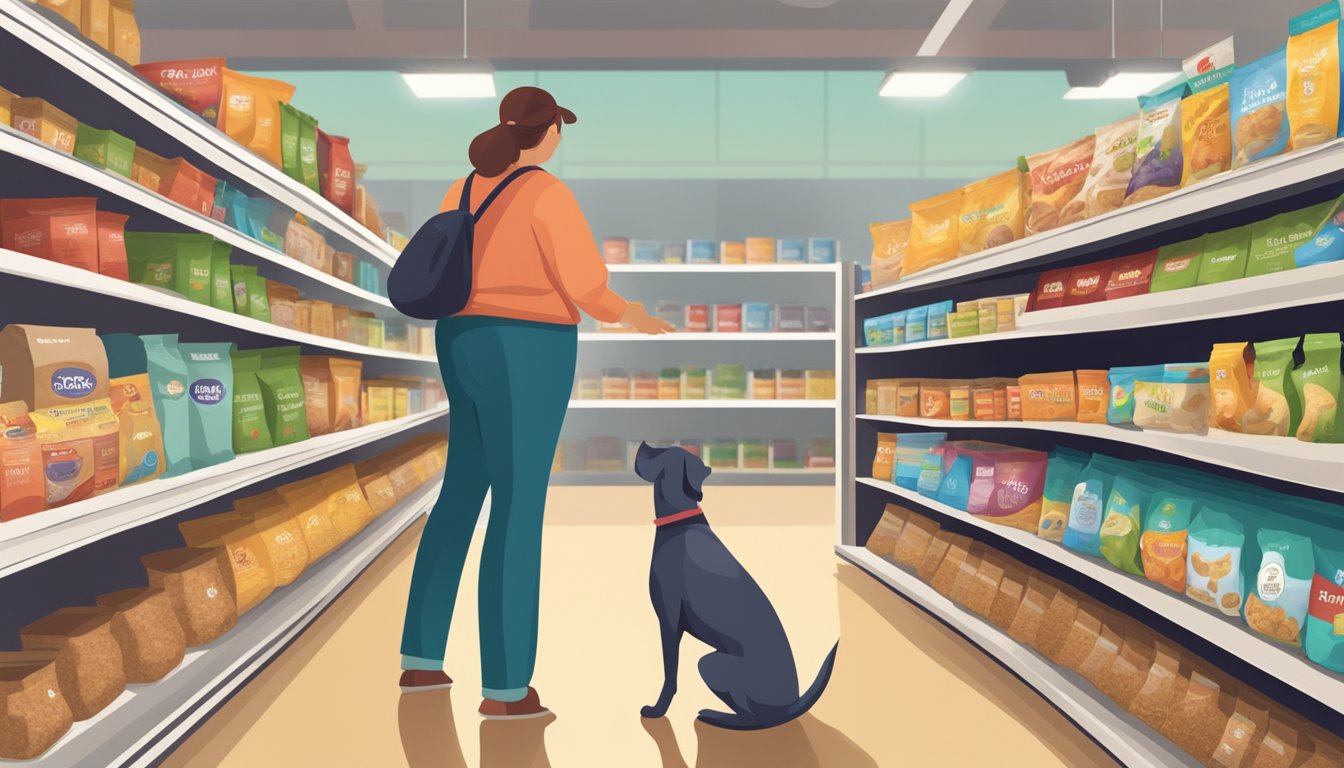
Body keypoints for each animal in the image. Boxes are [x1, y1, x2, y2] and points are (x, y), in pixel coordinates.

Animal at [634, 441, 833, 731]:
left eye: (659, 452)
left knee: (754, 719)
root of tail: (791, 707)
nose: (643, 443)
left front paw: (657, 710)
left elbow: (670, 675)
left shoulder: (668, 622)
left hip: (710, 663)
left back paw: (715, 716)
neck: (680, 521)